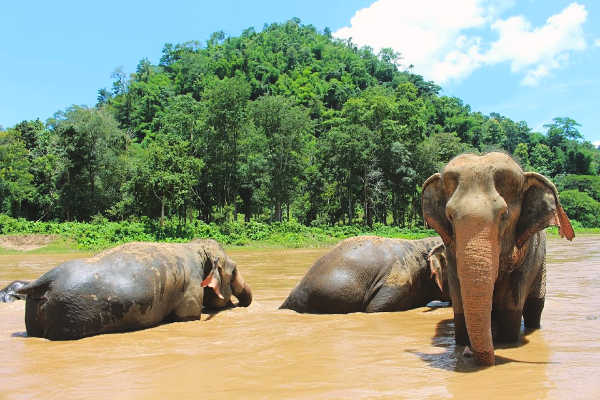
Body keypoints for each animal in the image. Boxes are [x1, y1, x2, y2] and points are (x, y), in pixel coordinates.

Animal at [15, 239, 251, 340]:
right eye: (234, 271)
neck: (195, 247)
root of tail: (44, 280)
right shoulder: (191, 288)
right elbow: (188, 317)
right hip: (71, 315)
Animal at [420, 152, 576, 366]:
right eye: (450, 216)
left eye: (504, 215)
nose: (468, 354)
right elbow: (459, 298)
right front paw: (462, 344)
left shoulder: (527, 253)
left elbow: (511, 303)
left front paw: (507, 342)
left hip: (541, 264)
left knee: (535, 307)